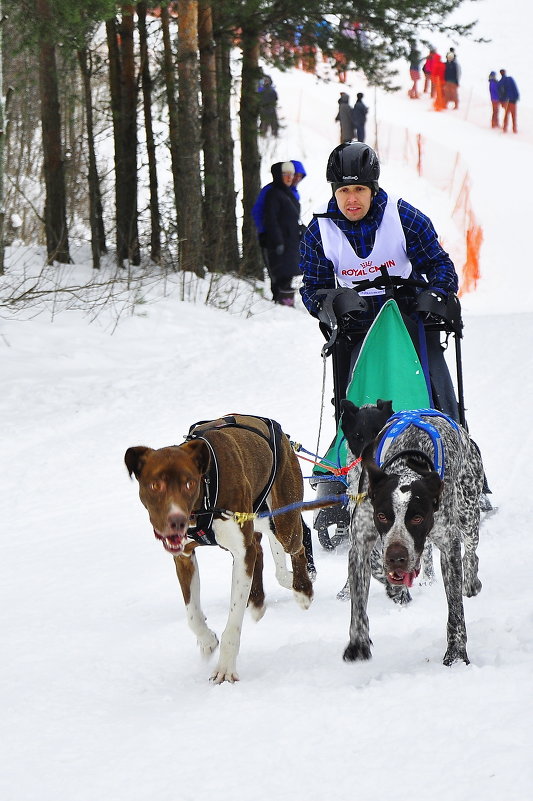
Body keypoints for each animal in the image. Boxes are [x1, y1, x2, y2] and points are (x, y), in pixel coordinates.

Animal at [125, 416, 314, 684]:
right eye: (155, 485)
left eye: (189, 483)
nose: (176, 521)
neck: (204, 500)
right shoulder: (185, 557)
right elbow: (192, 615)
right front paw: (207, 641)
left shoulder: (241, 550)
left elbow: (233, 623)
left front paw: (225, 667)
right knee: (259, 546)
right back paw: (258, 599)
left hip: (285, 518)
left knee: (294, 546)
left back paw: (301, 589)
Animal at [340, 404, 482, 664]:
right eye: (382, 516)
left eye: (417, 517)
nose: (397, 557)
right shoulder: (361, 544)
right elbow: (359, 603)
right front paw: (358, 643)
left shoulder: (449, 547)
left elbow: (455, 610)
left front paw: (456, 654)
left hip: (467, 514)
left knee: (471, 552)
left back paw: (471, 582)